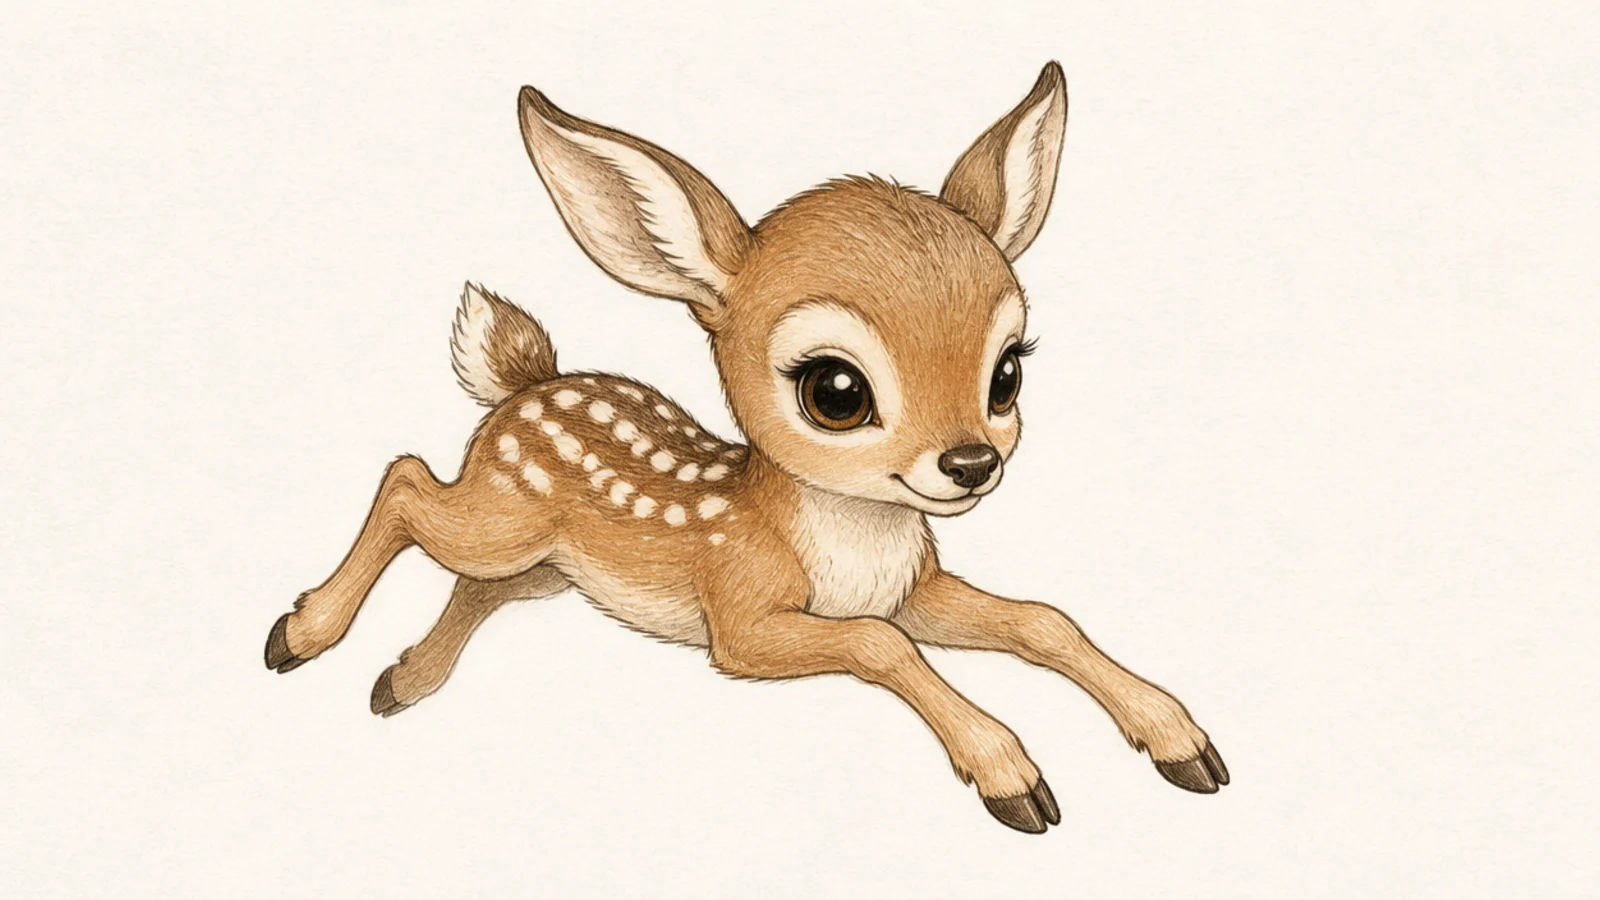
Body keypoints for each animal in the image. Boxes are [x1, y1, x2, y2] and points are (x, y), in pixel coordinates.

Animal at [264, 61, 1229, 834]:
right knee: (405, 481)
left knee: (474, 580)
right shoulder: (738, 622)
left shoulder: (913, 589)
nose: (968, 465)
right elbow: (880, 647)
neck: (848, 545)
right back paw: (298, 635)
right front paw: (1011, 778)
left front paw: (1182, 740)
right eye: (835, 391)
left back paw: (399, 684)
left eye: (1007, 374)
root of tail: (520, 386)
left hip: (545, 565)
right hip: (499, 519)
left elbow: (1041, 619)